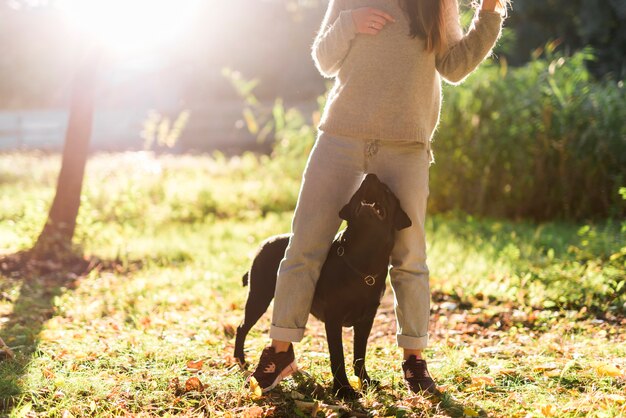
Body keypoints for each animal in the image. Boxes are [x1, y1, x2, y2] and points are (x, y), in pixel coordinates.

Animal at [234, 173, 410, 398]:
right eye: (358, 190)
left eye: (387, 190)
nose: (370, 176)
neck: (363, 258)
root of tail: (264, 243)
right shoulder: (333, 319)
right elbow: (338, 356)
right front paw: (343, 389)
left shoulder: (366, 320)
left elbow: (359, 355)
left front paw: (365, 382)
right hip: (259, 297)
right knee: (241, 328)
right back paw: (241, 360)